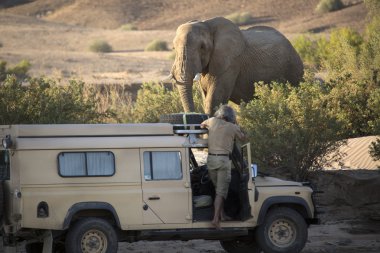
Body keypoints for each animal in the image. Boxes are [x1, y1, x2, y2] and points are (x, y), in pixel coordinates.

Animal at [169, 17, 302, 115]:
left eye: (202, 47)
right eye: (174, 48)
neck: (206, 23)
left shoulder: (231, 63)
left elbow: (214, 100)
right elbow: (205, 96)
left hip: (293, 68)